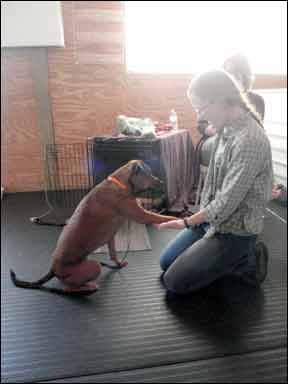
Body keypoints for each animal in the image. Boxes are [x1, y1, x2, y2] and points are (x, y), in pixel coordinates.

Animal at [10, 160, 177, 296]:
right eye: (149, 173)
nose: (162, 181)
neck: (120, 183)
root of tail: (53, 269)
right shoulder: (140, 215)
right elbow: (161, 217)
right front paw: (176, 220)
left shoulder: (112, 236)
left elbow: (113, 254)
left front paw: (118, 263)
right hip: (92, 267)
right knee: (68, 287)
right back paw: (87, 287)